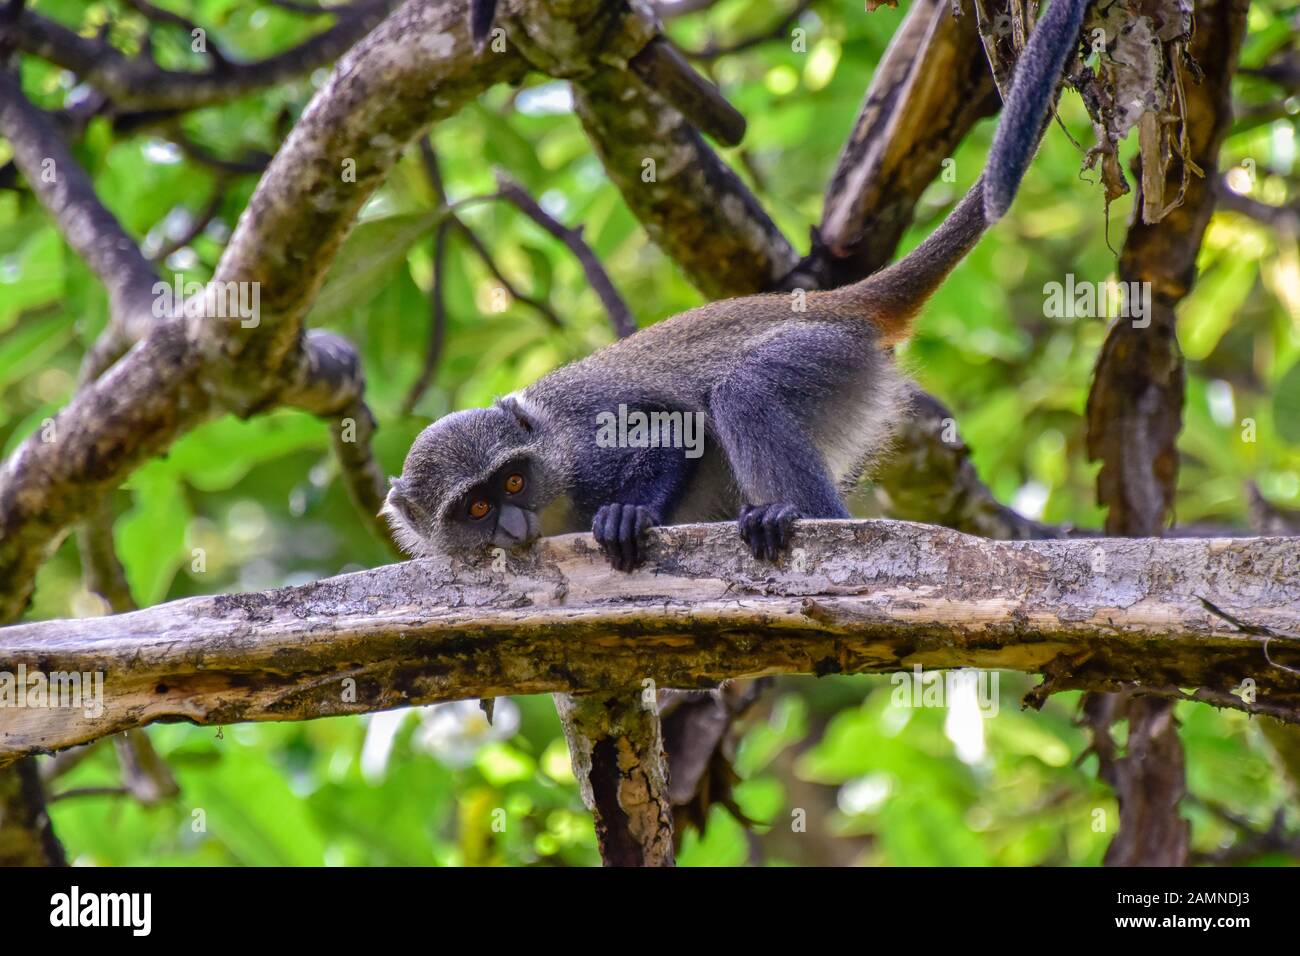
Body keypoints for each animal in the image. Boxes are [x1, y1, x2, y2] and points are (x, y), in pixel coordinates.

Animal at [386, 0, 1090, 571]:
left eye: (511, 483)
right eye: (475, 510)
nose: (511, 522)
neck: (550, 473)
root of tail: (833, 303)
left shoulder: (586, 445)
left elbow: (671, 429)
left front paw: (628, 515)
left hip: (825, 357)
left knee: (744, 391)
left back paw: (797, 516)